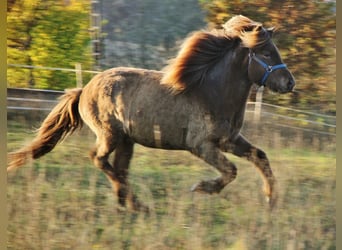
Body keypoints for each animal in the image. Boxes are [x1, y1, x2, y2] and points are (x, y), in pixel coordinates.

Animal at [8, 15, 296, 211]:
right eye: (266, 53)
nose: (289, 83)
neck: (213, 93)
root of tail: (85, 88)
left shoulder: (230, 141)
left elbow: (260, 157)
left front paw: (271, 200)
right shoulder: (201, 145)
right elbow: (231, 171)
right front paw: (202, 188)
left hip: (127, 141)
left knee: (119, 169)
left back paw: (128, 205)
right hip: (110, 135)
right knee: (99, 159)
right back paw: (137, 204)